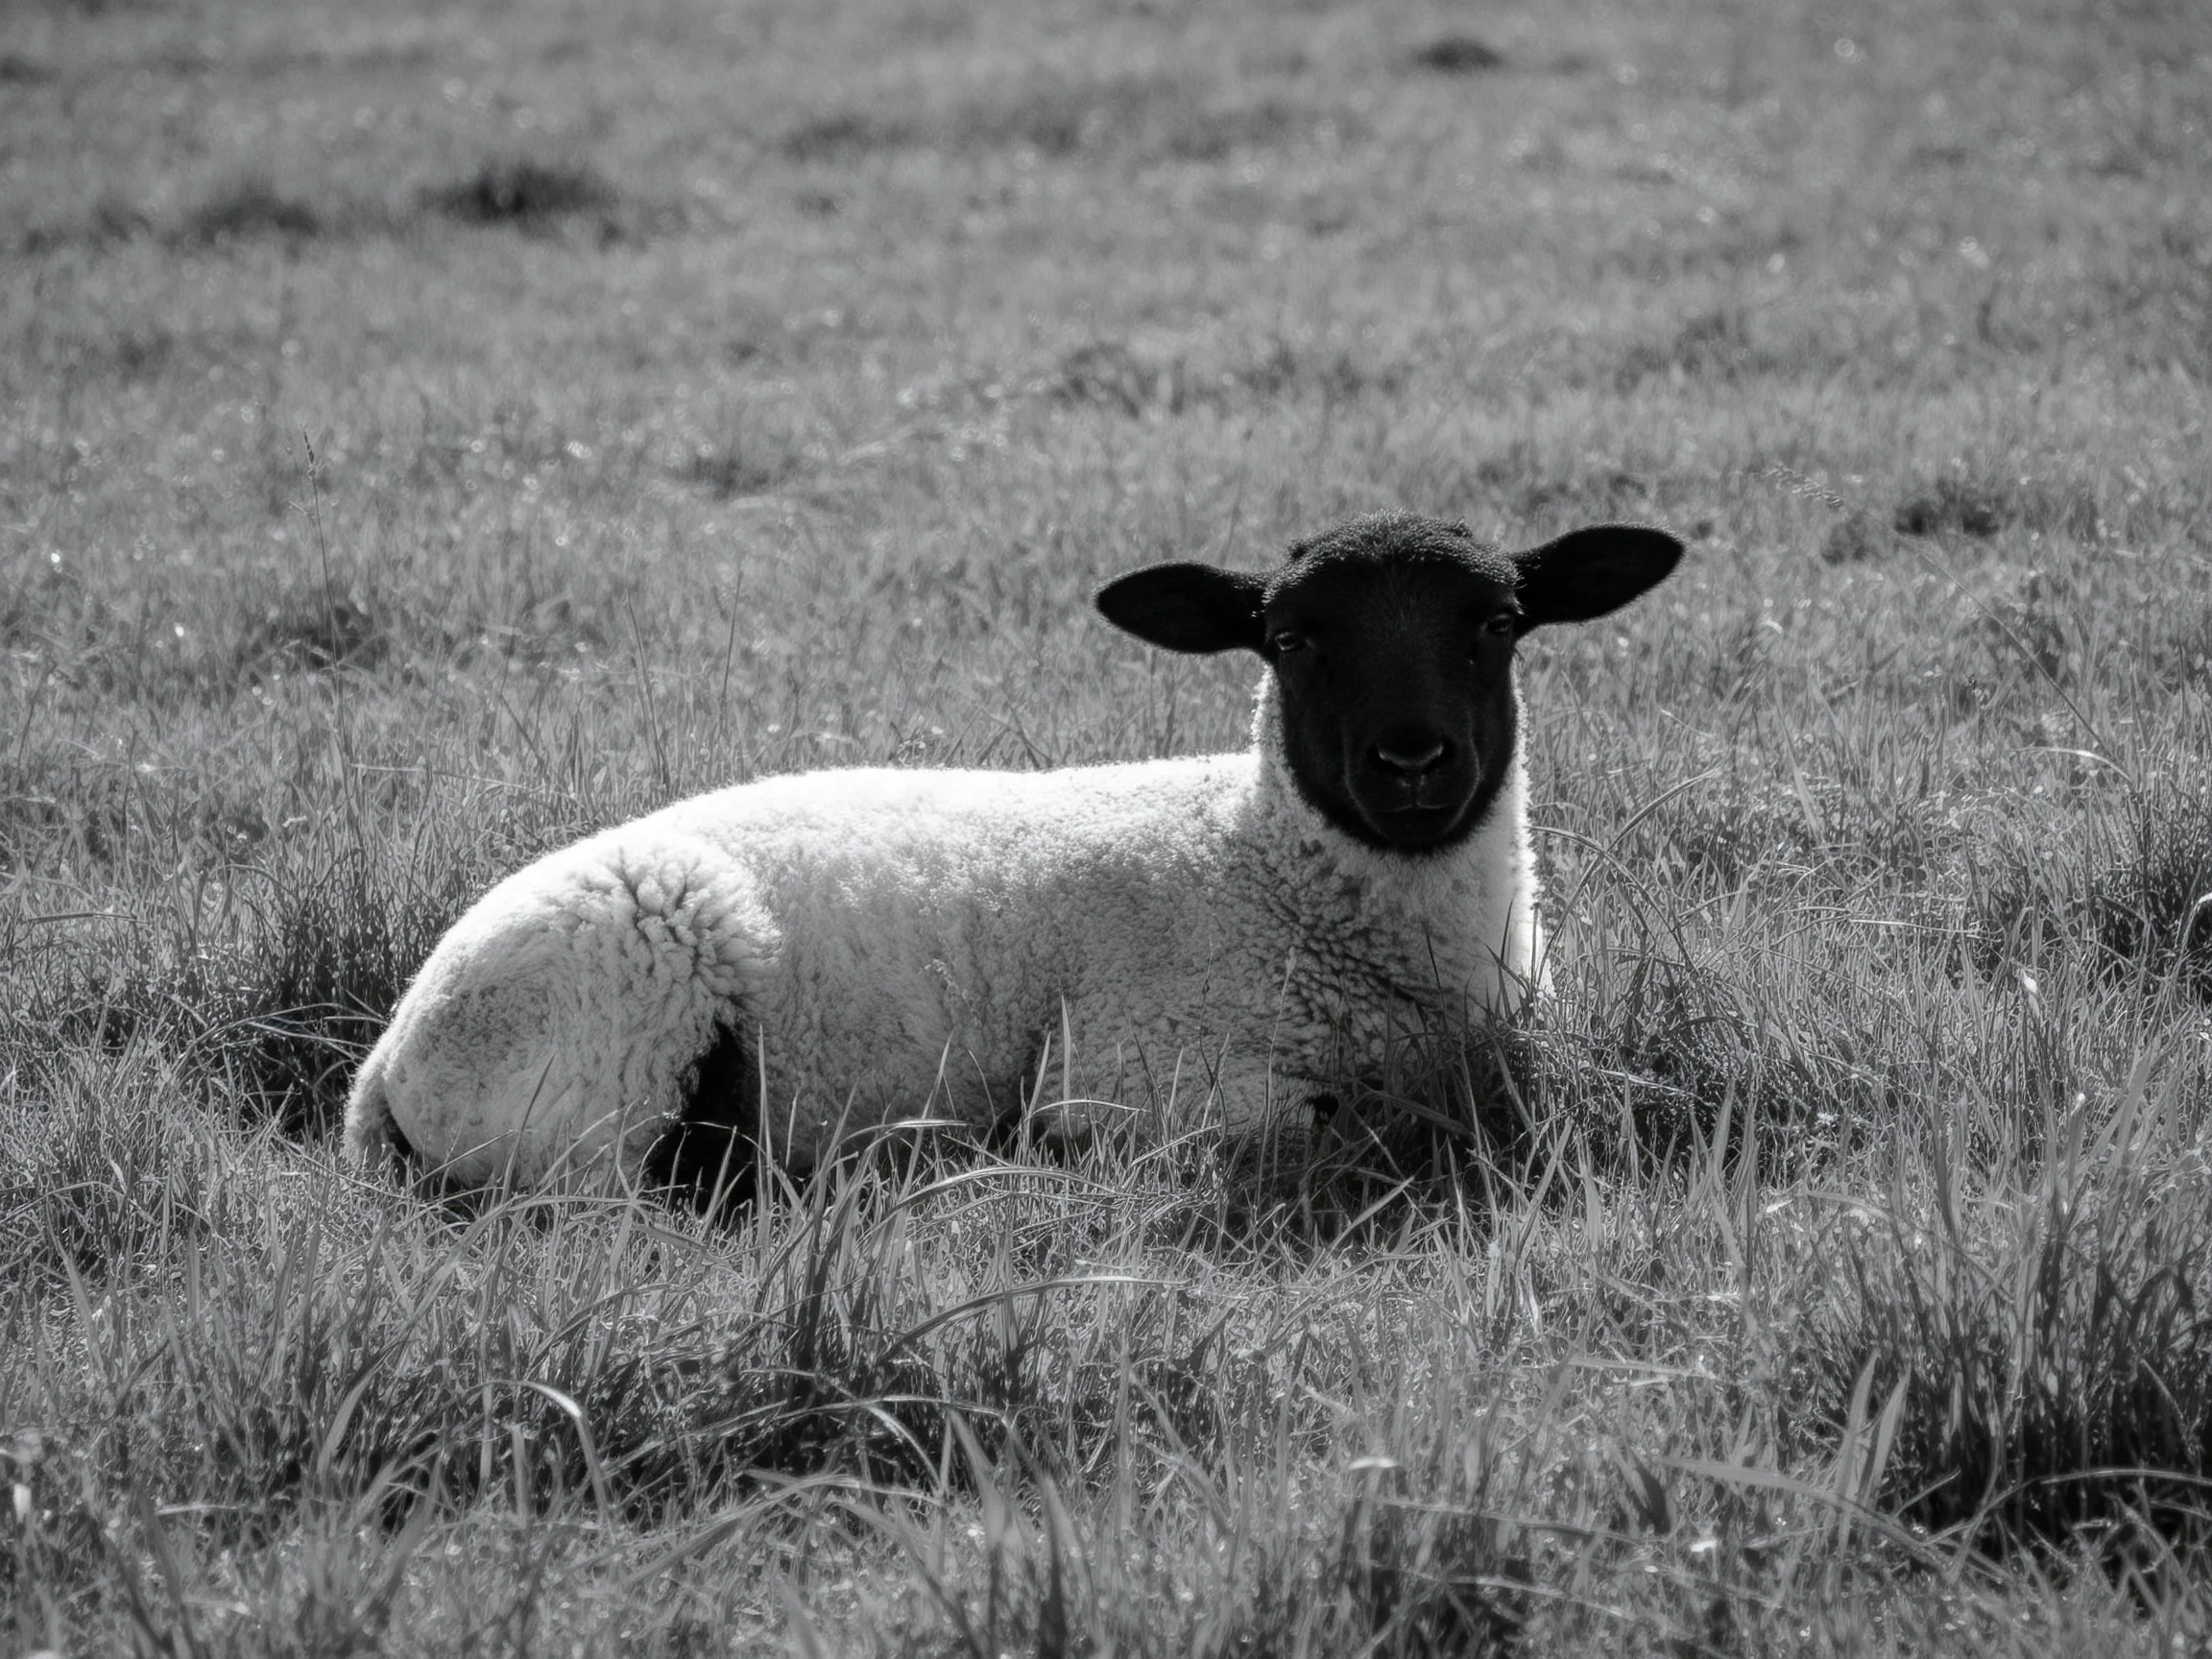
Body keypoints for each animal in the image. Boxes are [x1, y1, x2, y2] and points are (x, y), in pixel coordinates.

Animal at [342, 511, 1680, 1190]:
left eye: (1499, 623)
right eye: (1293, 641)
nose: (1412, 764)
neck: (1261, 870)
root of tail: (387, 1067)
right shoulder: (1142, 1079)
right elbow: (1336, 1128)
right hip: (603, 1057)